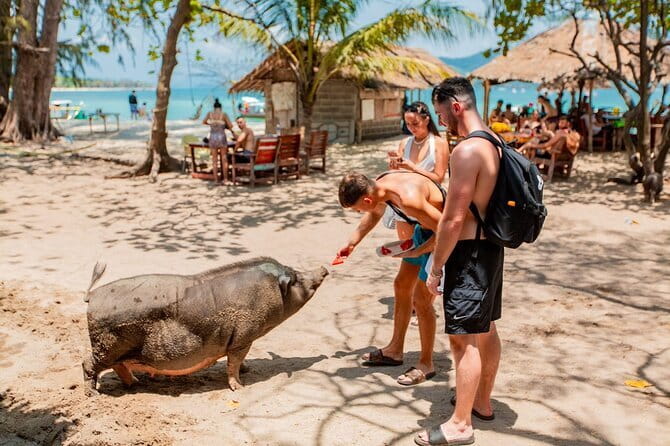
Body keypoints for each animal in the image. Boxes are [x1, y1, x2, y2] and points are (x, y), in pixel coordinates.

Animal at [82, 257, 328, 395]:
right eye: (295, 279)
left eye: (295, 271)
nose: (324, 268)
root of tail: (91, 296)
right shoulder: (243, 337)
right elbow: (233, 362)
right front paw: (240, 388)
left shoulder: (242, 340)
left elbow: (239, 361)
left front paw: (248, 370)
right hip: (107, 346)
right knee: (88, 364)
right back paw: (93, 395)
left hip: (116, 349)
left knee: (118, 366)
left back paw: (135, 383)